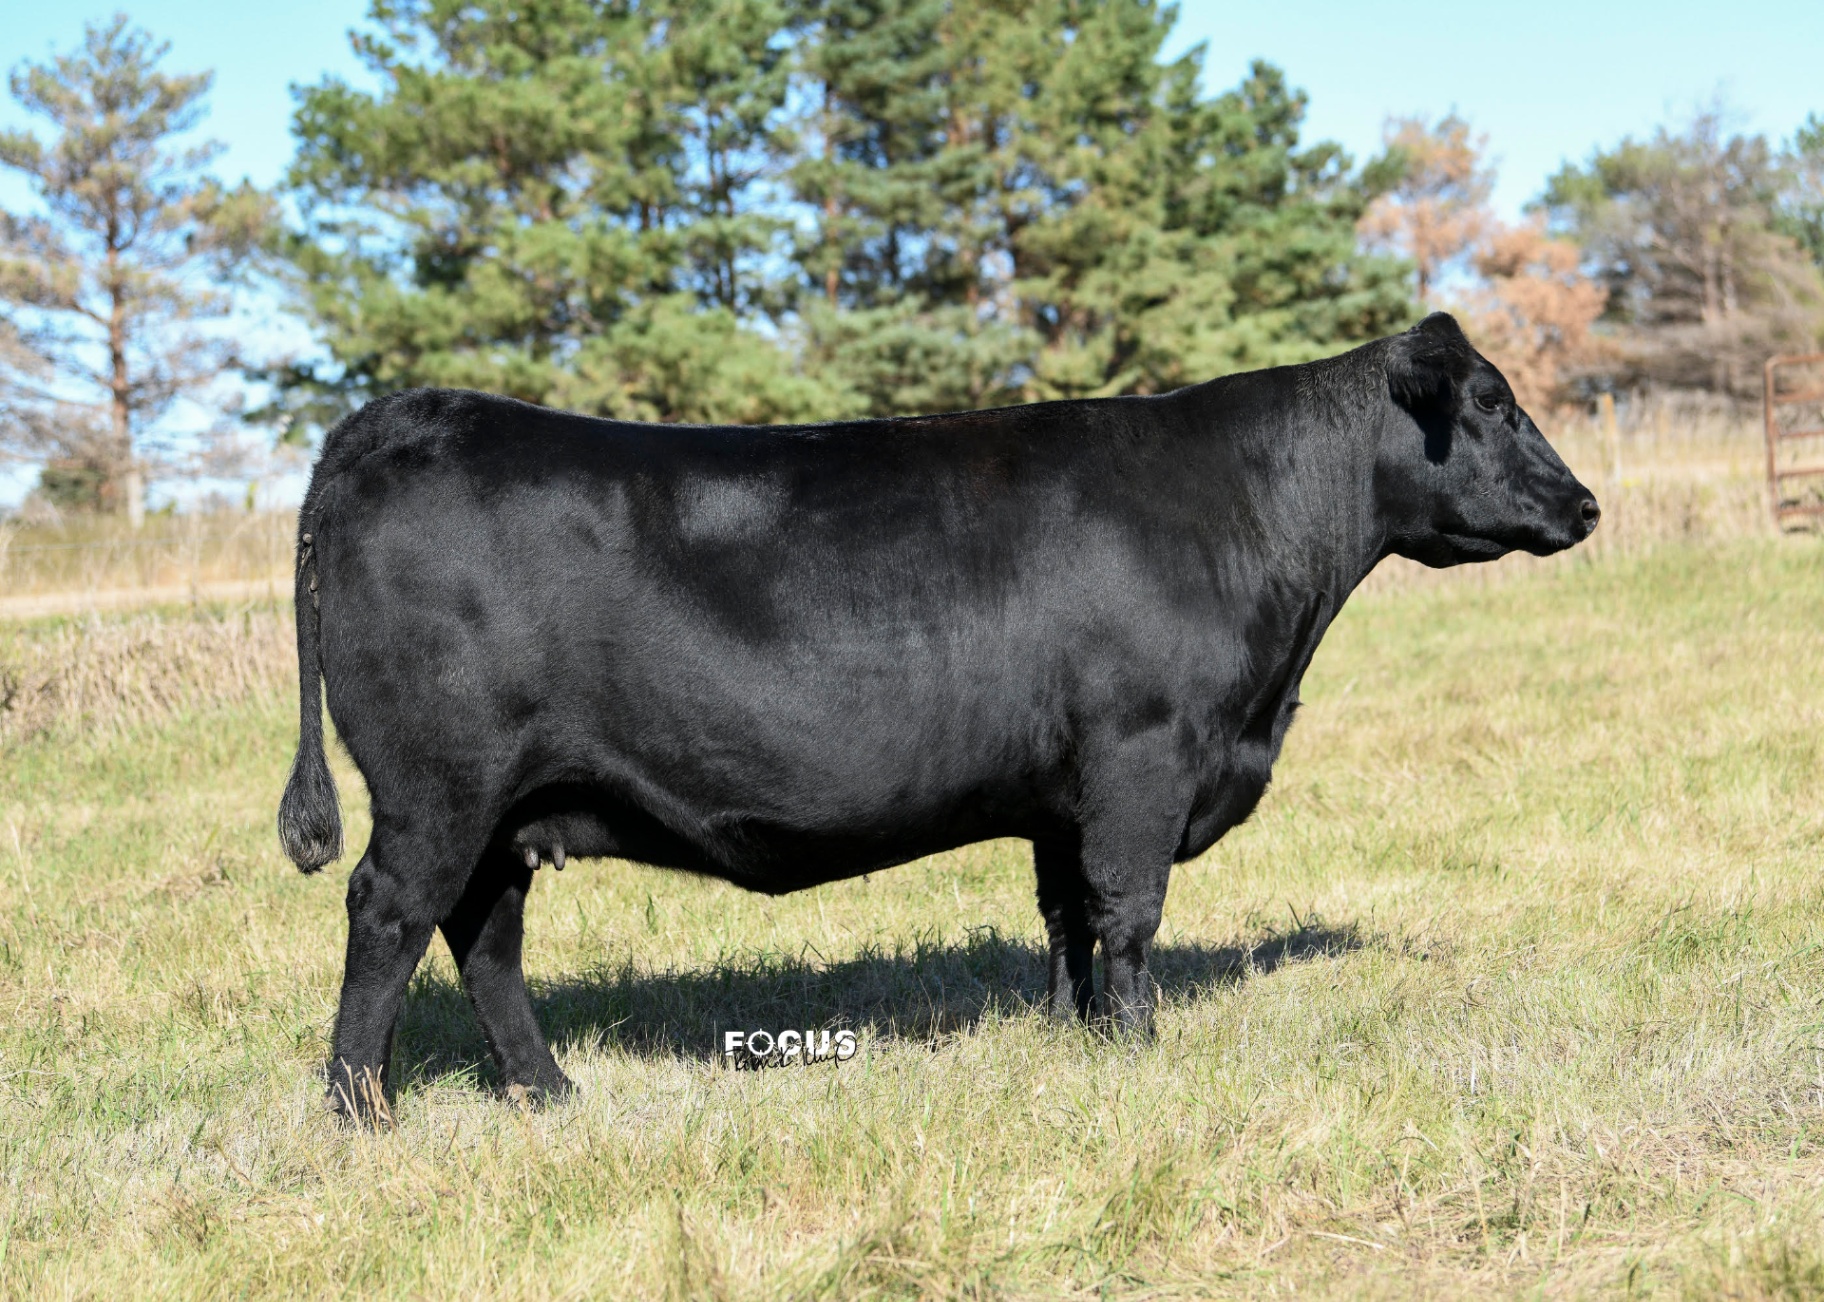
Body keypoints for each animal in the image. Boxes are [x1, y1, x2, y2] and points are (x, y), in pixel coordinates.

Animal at [278, 312, 1598, 1120]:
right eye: (1492, 400)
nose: (1586, 503)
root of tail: (394, 419)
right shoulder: (1144, 755)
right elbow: (1130, 911)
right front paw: (1141, 1052)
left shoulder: (1066, 793)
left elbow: (1067, 917)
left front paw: (1076, 1039)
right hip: (439, 784)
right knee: (389, 916)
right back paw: (360, 1112)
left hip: (510, 804)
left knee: (482, 933)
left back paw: (546, 1091)